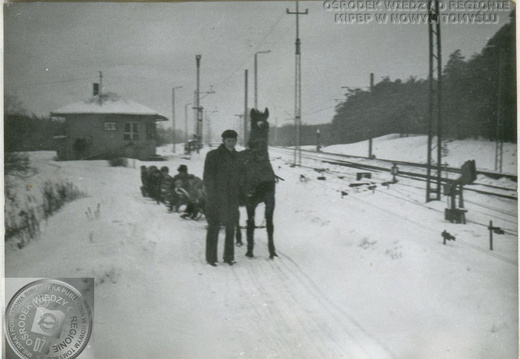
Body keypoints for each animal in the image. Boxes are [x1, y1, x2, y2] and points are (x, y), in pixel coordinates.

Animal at [239, 108, 278, 260]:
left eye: (266, 126)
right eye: (254, 125)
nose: (260, 153)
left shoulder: (270, 200)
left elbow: (270, 226)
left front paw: (272, 252)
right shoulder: (250, 202)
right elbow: (250, 224)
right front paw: (250, 251)